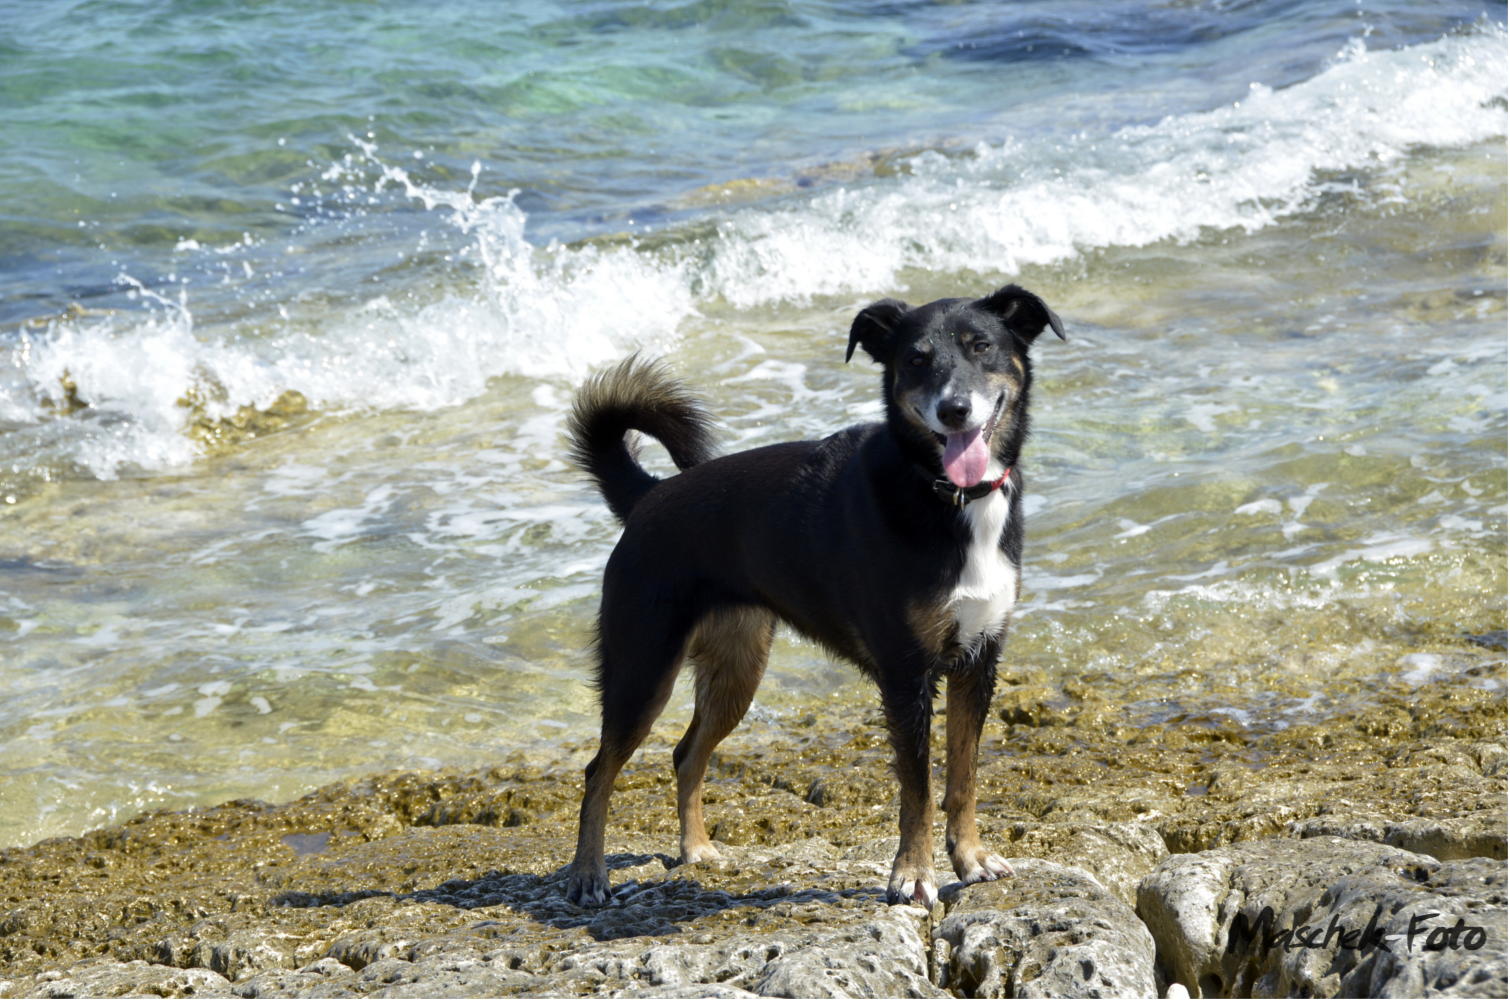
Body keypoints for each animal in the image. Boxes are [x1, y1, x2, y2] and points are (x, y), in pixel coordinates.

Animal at [561, 282, 1069, 906]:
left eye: (981, 347)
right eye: (915, 360)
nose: (954, 410)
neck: (946, 495)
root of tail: (648, 496)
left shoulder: (979, 661)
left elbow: (963, 778)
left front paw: (969, 858)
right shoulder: (907, 675)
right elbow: (919, 790)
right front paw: (913, 874)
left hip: (738, 668)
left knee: (686, 754)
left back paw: (696, 849)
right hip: (643, 668)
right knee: (599, 770)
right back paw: (588, 874)